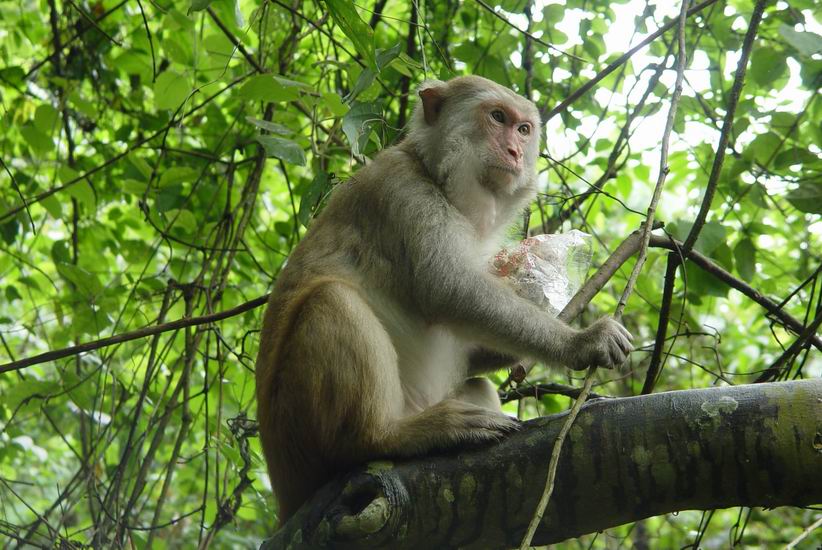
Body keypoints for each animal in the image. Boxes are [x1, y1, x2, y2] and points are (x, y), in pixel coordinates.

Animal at [258, 75, 636, 524]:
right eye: (497, 117)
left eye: (524, 129)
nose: (514, 151)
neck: (436, 175)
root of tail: (285, 496)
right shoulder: (402, 191)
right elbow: (447, 290)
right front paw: (580, 341)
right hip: (299, 436)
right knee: (333, 300)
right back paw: (384, 436)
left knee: (477, 386)